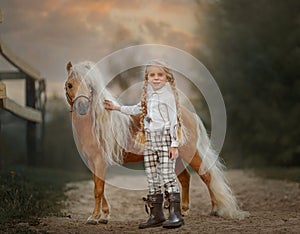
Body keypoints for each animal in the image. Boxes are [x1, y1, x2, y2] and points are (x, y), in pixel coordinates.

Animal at [65, 61, 248, 224]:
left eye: (90, 85)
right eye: (70, 85)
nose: (82, 107)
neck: (94, 124)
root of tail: (190, 115)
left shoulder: (99, 161)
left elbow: (98, 190)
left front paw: (94, 218)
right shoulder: (92, 161)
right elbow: (100, 189)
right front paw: (104, 216)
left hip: (190, 153)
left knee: (206, 175)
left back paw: (216, 209)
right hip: (176, 156)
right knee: (185, 178)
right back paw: (184, 210)